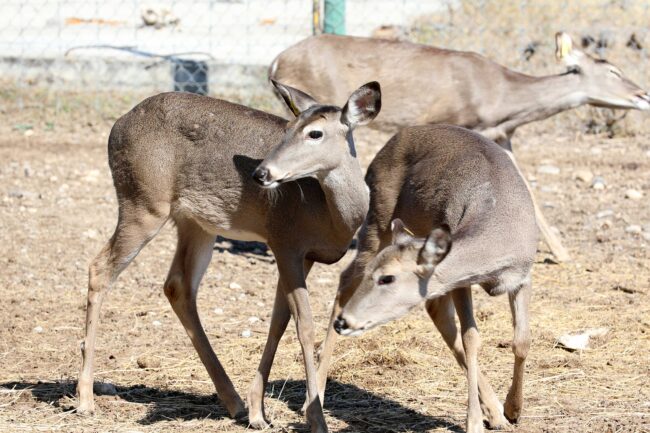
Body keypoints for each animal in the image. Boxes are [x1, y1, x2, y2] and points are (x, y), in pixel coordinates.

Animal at [75, 78, 380, 432]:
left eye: (314, 133)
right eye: (288, 128)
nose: (261, 173)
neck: (331, 216)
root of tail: (117, 127)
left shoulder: (303, 256)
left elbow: (278, 320)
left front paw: (258, 410)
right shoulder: (284, 242)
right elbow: (303, 325)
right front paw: (315, 418)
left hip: (195, 222)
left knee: (177, 285)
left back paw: (233, 402)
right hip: (143, 204)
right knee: (99, 268)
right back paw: (85, 398)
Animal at [268, 32, 648, 262]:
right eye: (613, 71)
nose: (643, 94)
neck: (502, 101)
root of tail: (276, 61)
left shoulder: (502, 135)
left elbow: (529, 188)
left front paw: (562, 252)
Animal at [312, 123, 536, 430]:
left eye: (387, 278)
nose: (344, 322)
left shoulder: (523, 276)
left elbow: (521, 341)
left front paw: (513, 409)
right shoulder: (460, 282)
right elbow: (472, 338)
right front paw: (474, 422)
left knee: (434, 307)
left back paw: (496, 413)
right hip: (377, 217)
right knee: (347, 277)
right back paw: (317, 392)